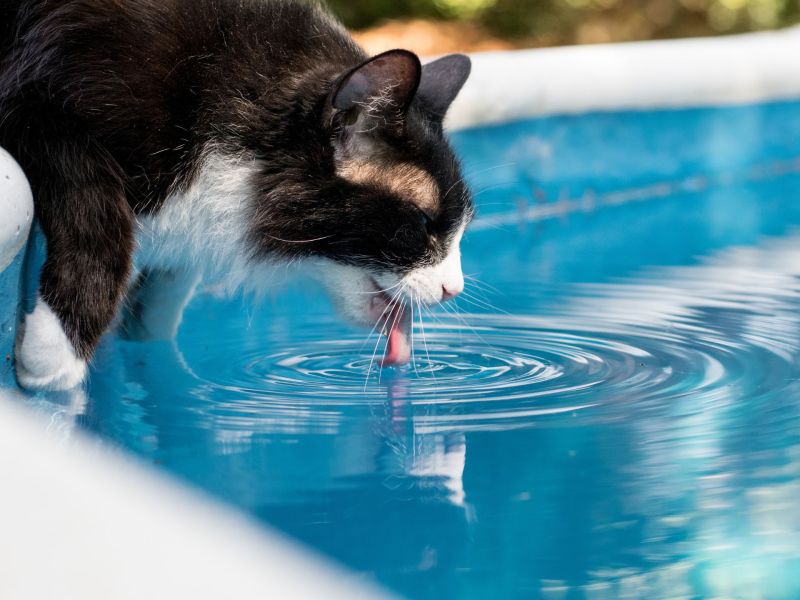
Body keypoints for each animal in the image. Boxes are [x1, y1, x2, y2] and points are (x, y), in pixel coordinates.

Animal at [0, 0, 476, 392]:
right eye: (423, 224)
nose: (453, 289)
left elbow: (165, 296)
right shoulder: (36, 104)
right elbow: (97, 216)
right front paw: (53, 355)